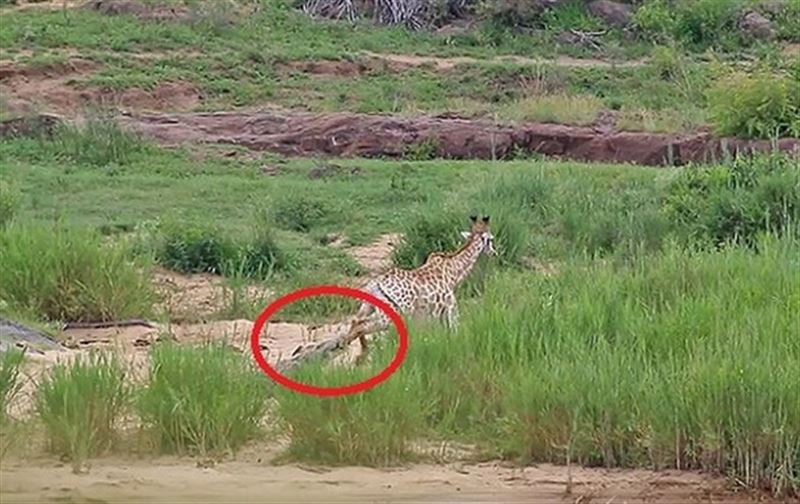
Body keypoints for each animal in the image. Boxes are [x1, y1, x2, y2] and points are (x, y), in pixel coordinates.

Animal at [342, 215, 494, 356]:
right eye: (491, 239)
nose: (494, 252)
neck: (455, 271)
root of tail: (375, 284)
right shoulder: (450, 306)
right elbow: (454, 330)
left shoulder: (433, 313)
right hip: (392, 315)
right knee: (361, 325)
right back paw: (360, 355)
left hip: (369, 307)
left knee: (355, 321)